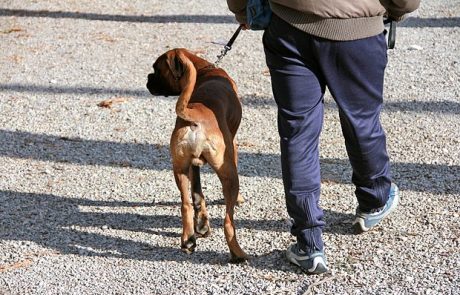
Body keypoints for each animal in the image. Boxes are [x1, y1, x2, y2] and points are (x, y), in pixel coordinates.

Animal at [146, 48, 248, 264]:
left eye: (156, 69)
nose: (148, 78)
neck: (205, 71)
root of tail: (194, 116)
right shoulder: (234, 146)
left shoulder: (193, 164)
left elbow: (197, 194)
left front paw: (201, 224)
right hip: (229, 174)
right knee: (228, 222)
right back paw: (238, 254)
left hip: (179, 169)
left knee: (185, 204)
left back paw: (188, 239)